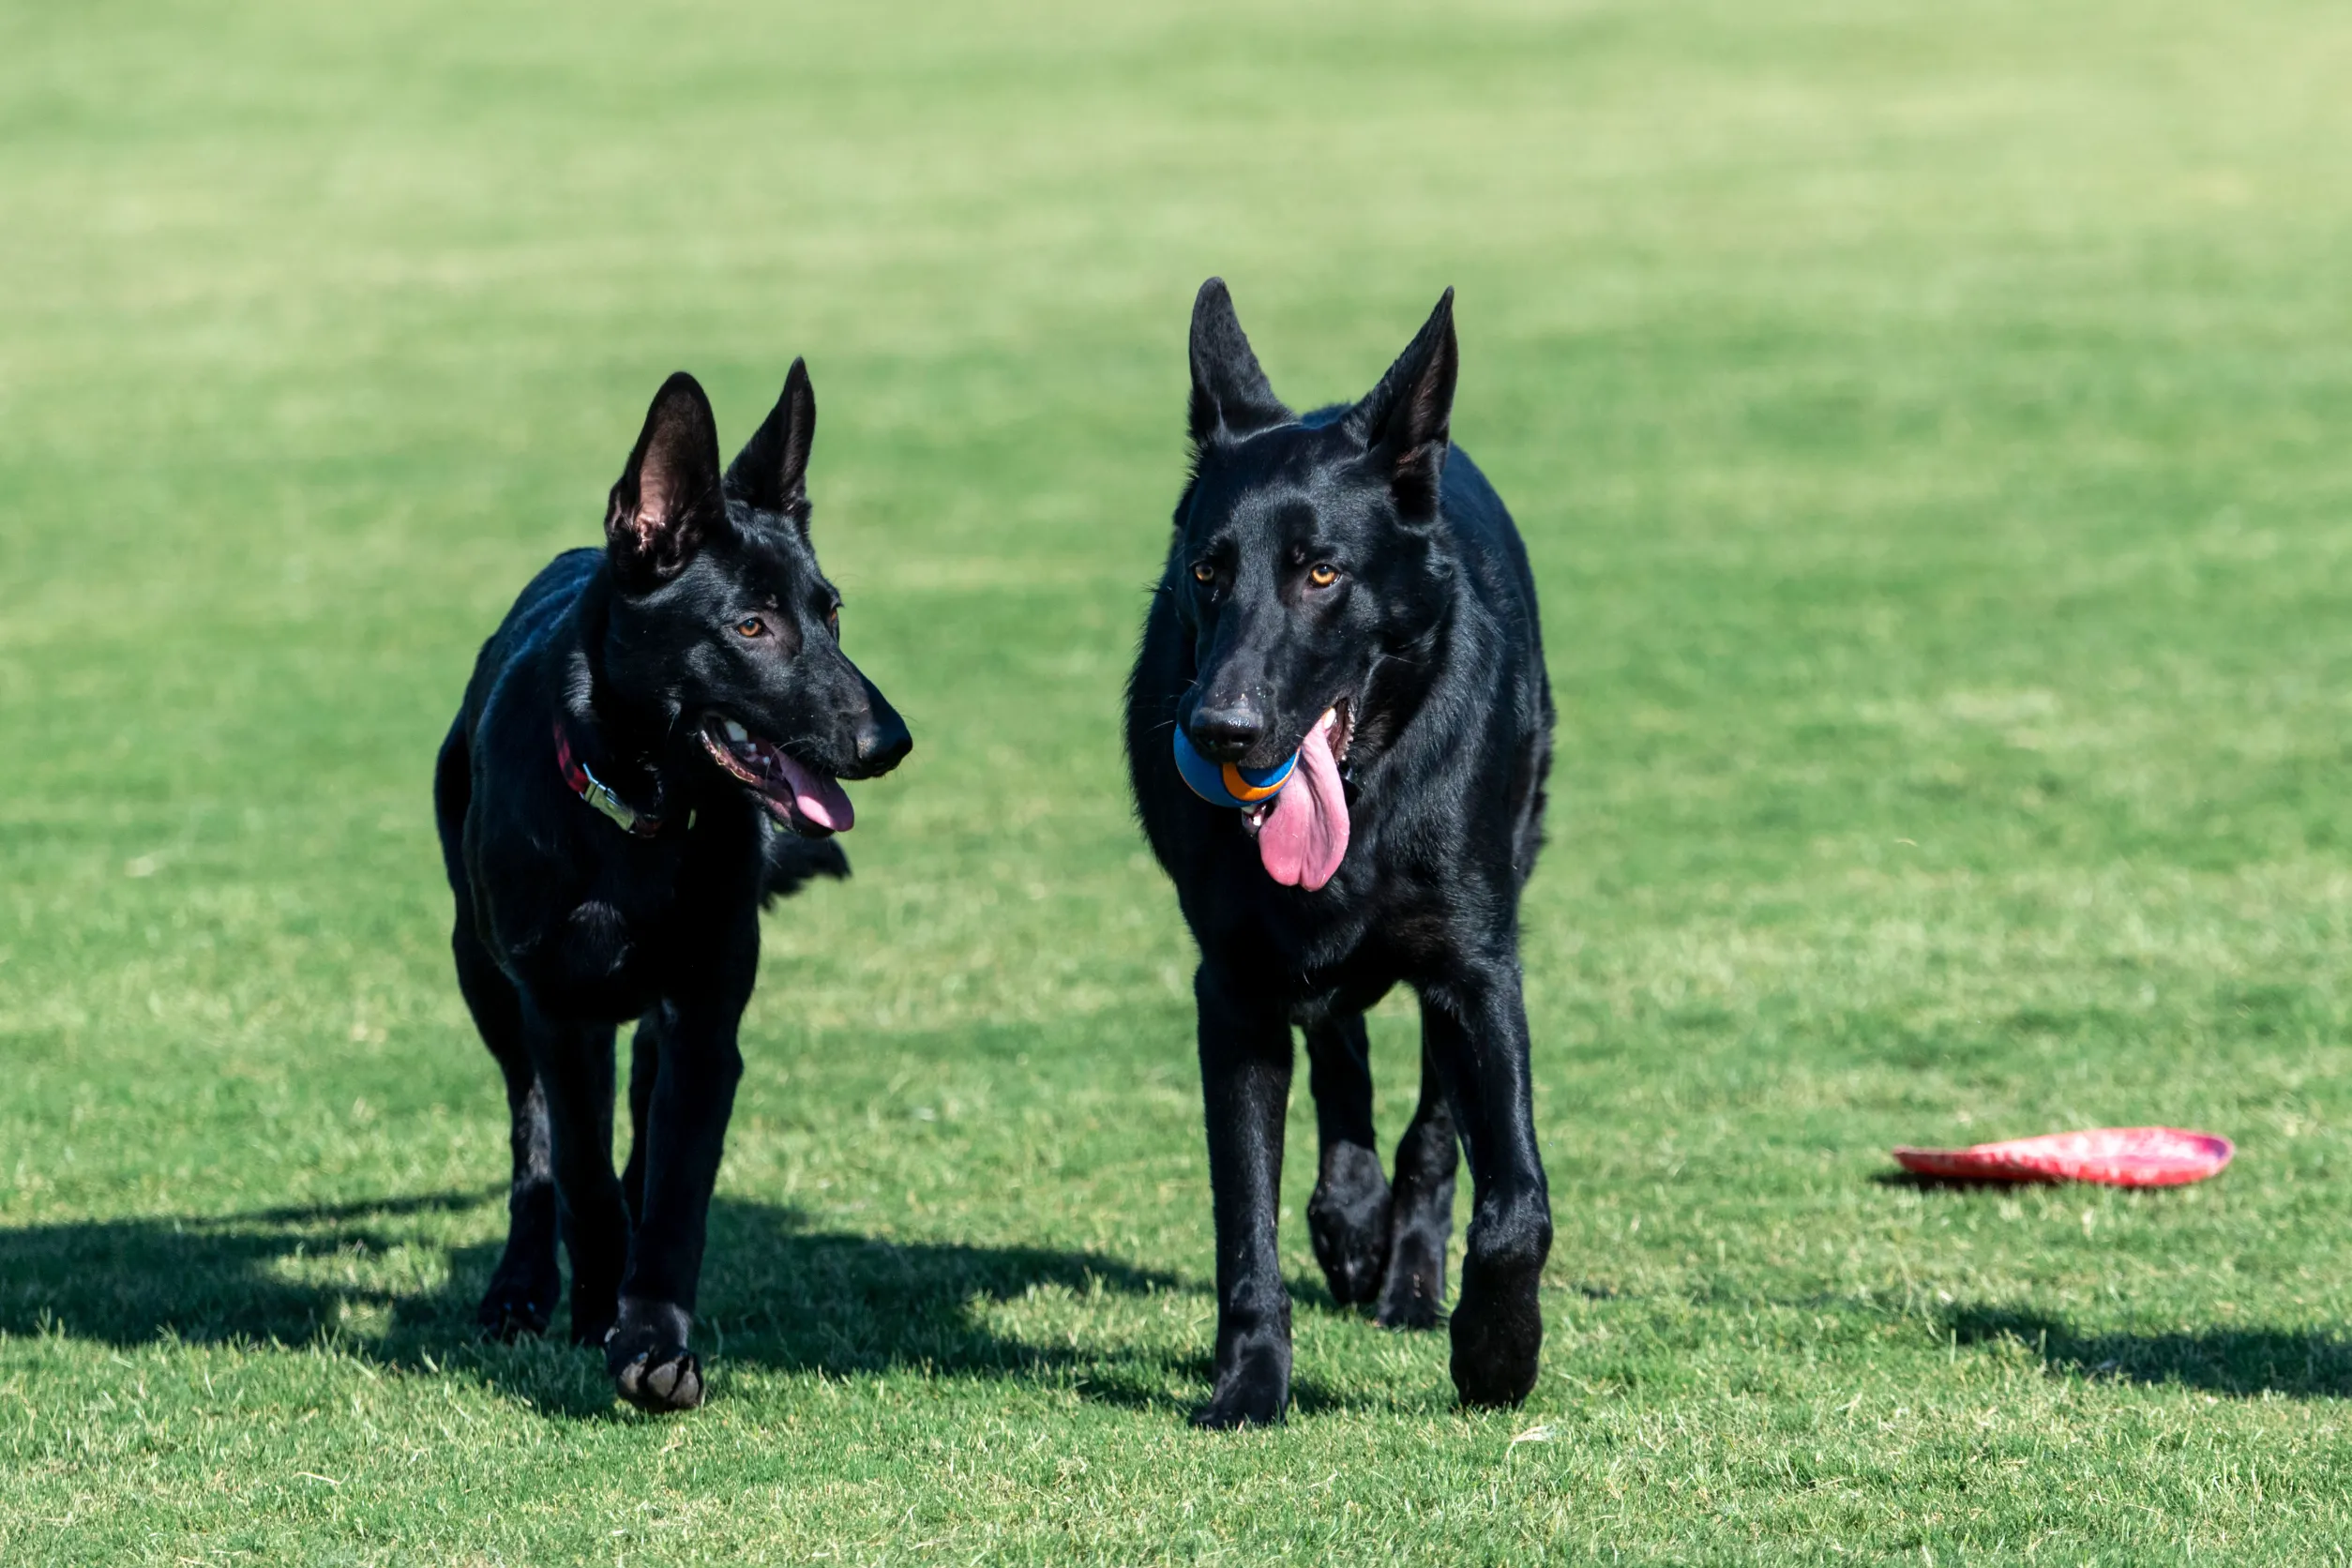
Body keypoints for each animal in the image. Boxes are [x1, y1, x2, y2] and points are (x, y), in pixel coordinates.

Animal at [432, 364, 908, 1410]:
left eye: (831, 613)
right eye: (750, 625)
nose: (889, 742)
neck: (641, 816)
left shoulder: (703, 1022)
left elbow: (675, 1190)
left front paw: (651, 1336)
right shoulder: (558, 1014)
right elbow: (578, 1173)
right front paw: (596, 1311)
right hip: (483, 977)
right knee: (533, 1143)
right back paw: (525, 1287)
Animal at [1123, 279, 1552, 1420]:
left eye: (1322, 572)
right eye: (1206, 571)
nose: (1220, 731)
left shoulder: (1477, 968)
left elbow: (1515, 1205)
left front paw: (1495, 1353)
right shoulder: (1232, 993)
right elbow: (1244, 1223)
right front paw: (1250, 1384)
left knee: (1433, 1123)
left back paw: (1407, 1274)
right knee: (1338, 1043)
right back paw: (1354, 1221)